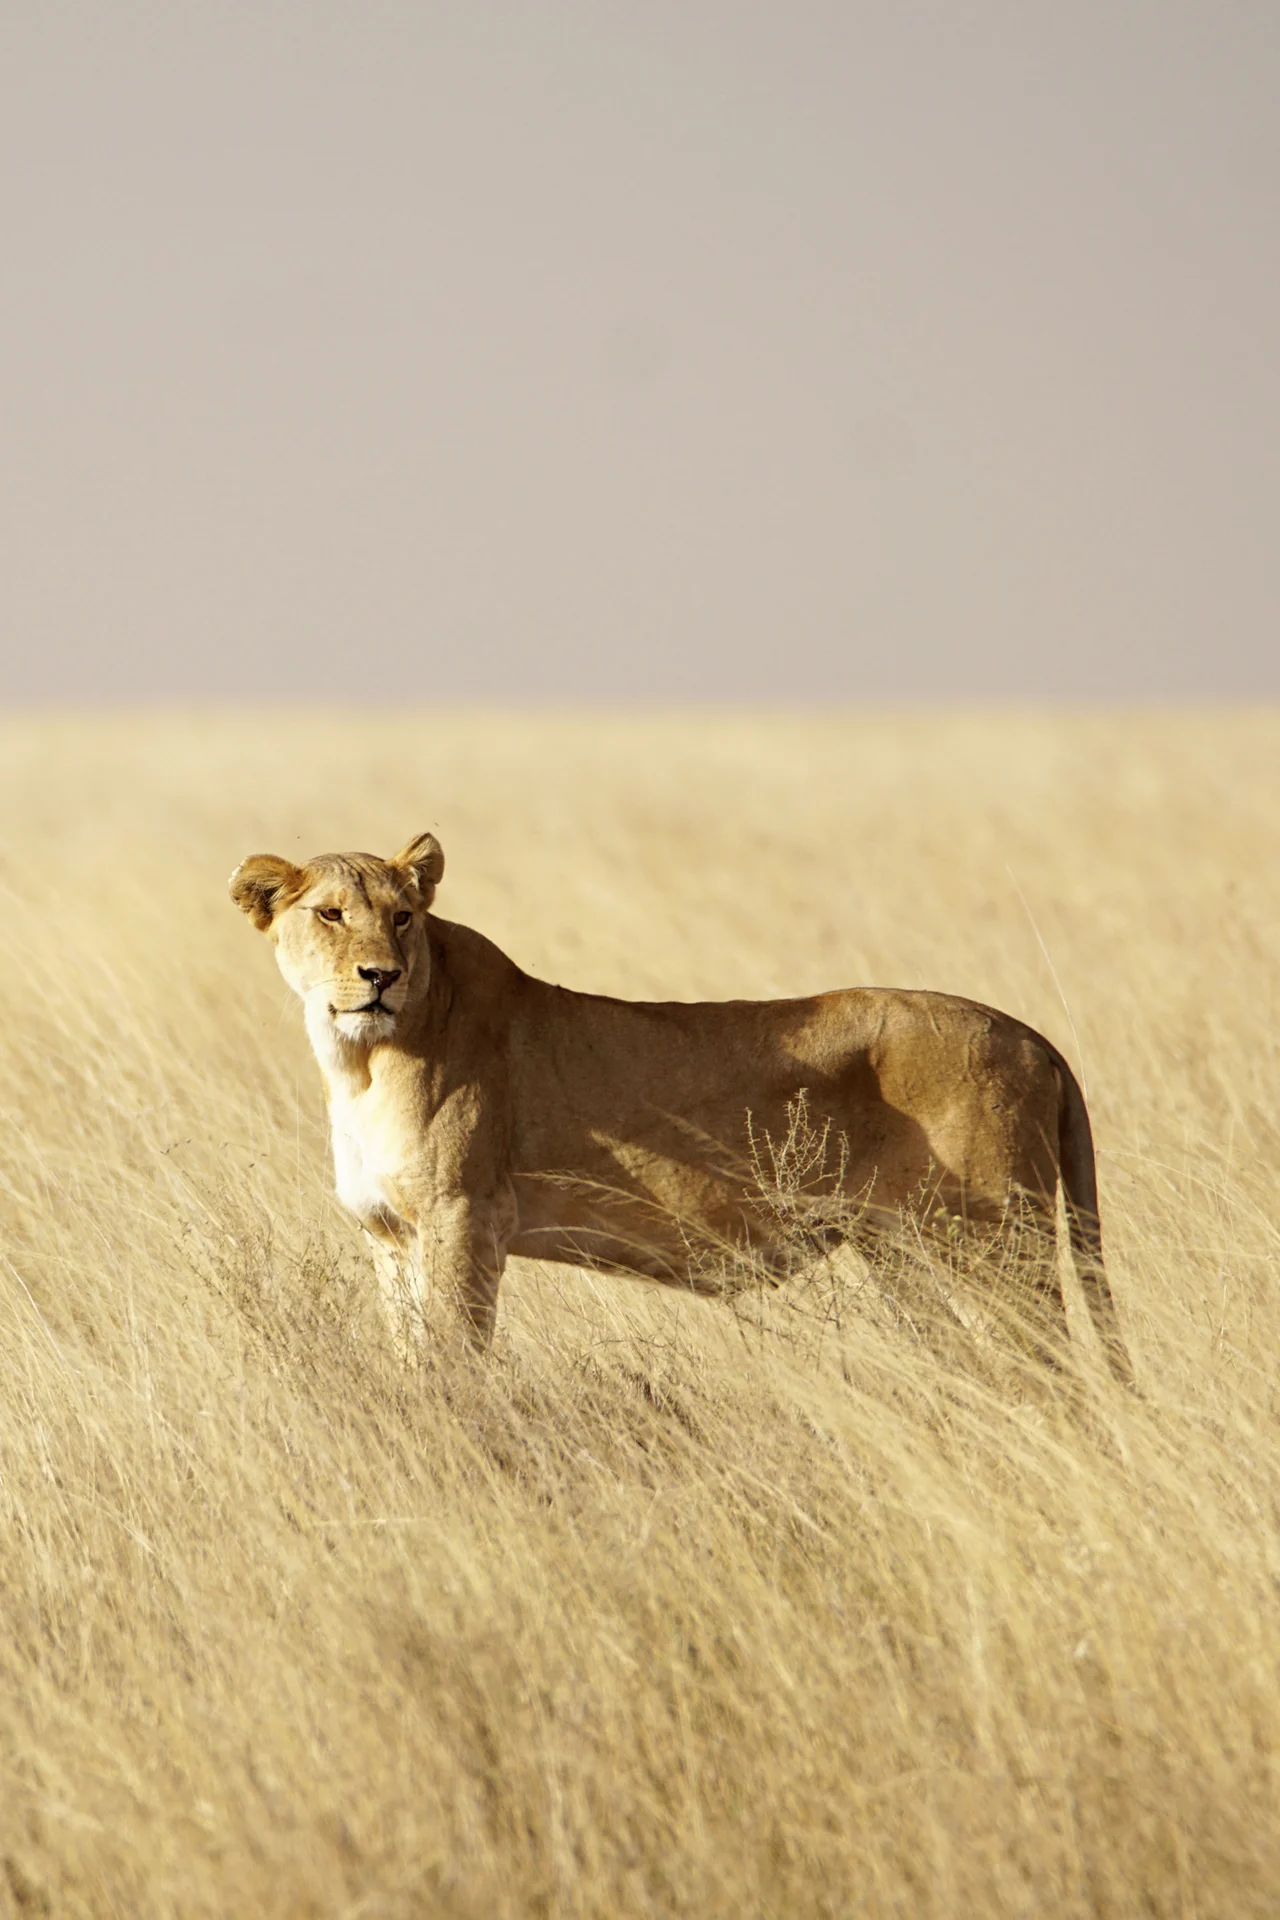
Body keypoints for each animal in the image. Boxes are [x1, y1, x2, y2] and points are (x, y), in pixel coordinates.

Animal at [229, 832, 1133, 1384]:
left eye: (403, 918)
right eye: (331, 914)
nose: (379, 976)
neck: (358, 1062)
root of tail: (1031, 1035)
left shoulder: (465, 1216)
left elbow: (455, 1361)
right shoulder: (390, 1234)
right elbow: (411, 1354)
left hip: (994, 1247)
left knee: (1053, 1376)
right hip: (903, 1252)